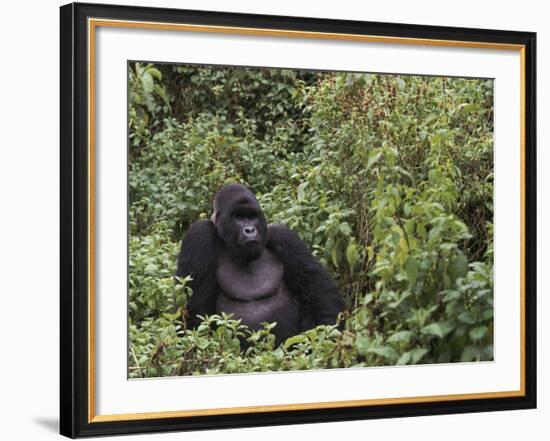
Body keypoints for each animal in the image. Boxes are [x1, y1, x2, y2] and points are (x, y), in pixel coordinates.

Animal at [177, 182, 344, 344]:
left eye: (252, 217)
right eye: (239, 217)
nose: (250, 230)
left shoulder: (284, 236)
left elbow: (320, 294)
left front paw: (327, 339)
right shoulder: (199, 235)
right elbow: (195, 311)